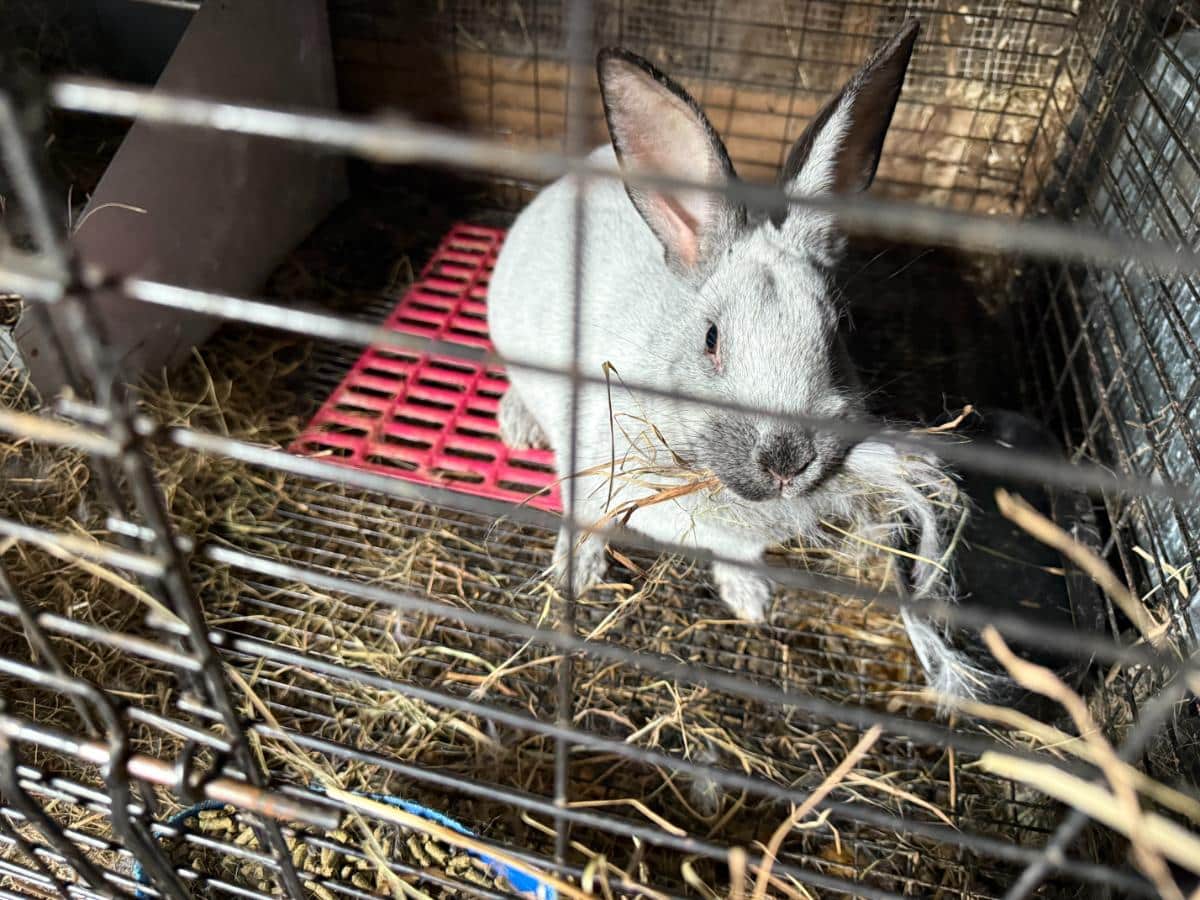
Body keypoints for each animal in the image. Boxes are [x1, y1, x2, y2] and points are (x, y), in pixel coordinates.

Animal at [487, 21, 996, 701]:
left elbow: (739, 558)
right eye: (711, 338)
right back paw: (518, 423)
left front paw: (752, 599)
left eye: (841, 333)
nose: (786, 459)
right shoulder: (586, 467)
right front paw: (575, 575)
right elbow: (582, 518)